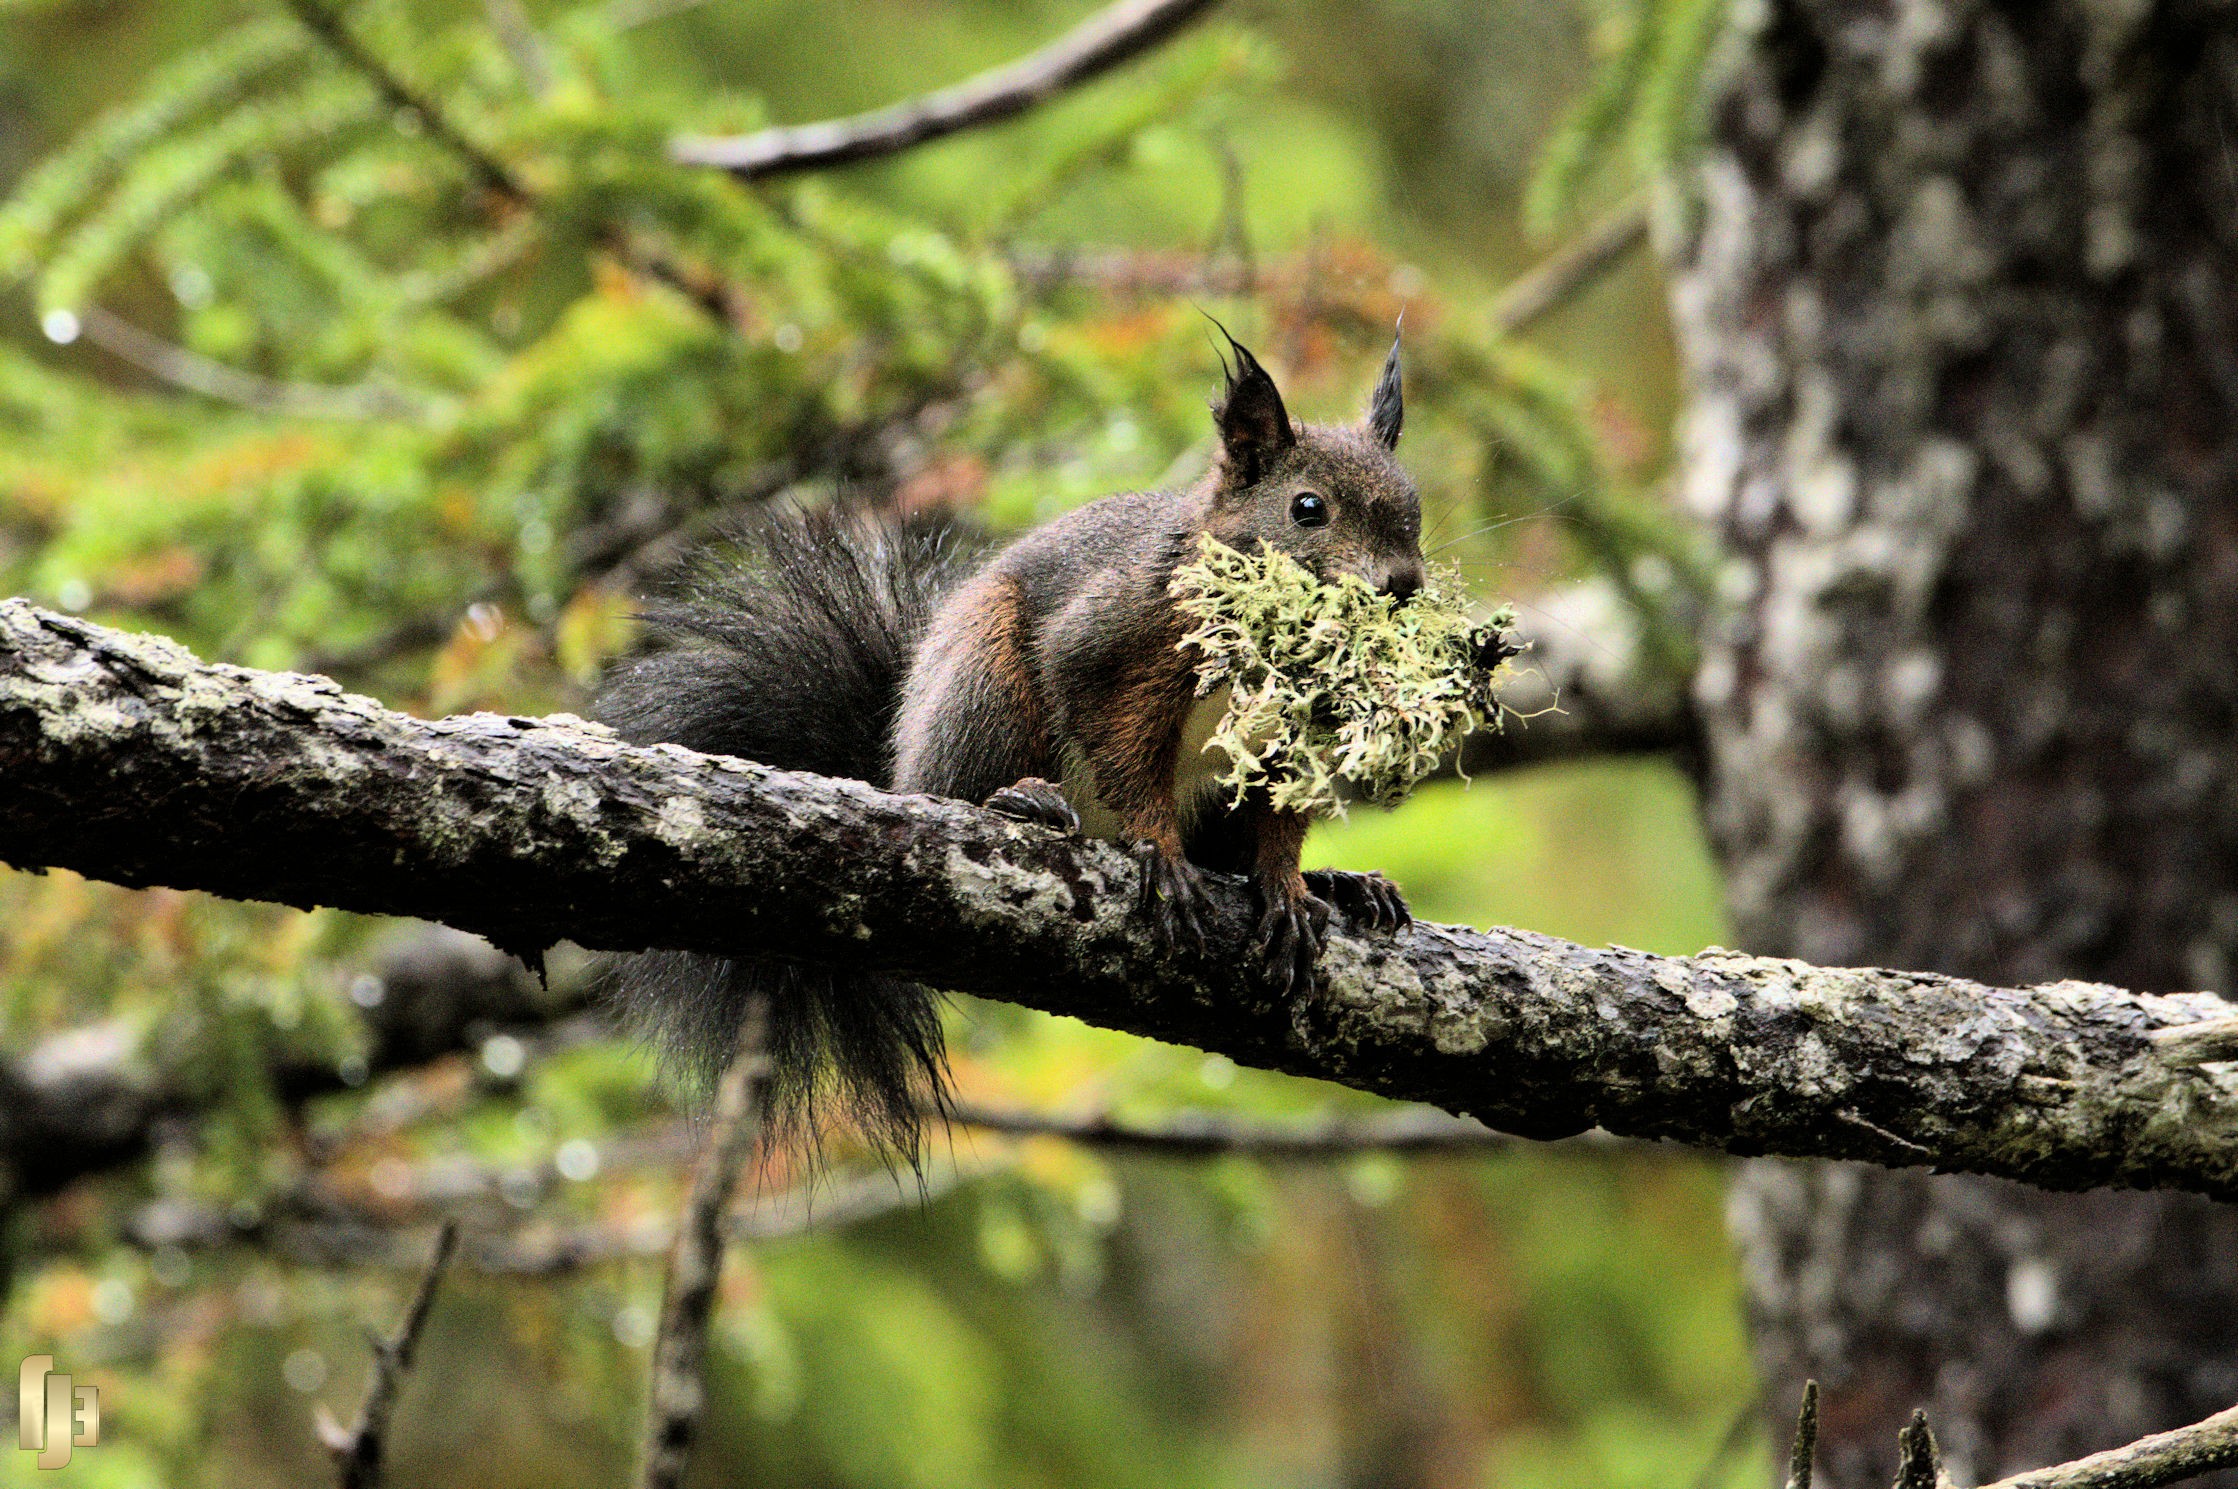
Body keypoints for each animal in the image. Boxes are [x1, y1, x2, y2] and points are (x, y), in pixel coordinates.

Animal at [595, 331, 1423, 1155]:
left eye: (1414, 509)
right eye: (1308, 508)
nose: (1403, 584)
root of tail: (895, 765)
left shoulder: (1293, 730)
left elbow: (1281, 817)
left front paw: (1289, 887)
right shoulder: (1110, 643)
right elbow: (1120, 745)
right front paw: (1160, 849)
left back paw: (1342, 885)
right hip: (985, 686)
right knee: (957, 788)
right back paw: (1017, 801)